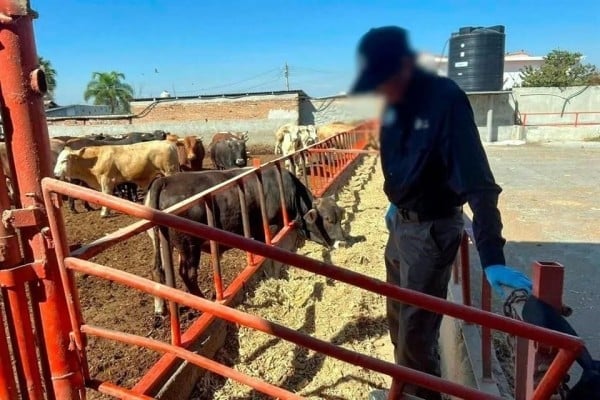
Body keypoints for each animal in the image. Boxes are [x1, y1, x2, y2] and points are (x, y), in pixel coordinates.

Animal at [145, 166, 346, 318]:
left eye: (340, 215)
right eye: (328, 219)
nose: (343, 242)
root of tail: (165, 181)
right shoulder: (270, 228)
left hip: (163, 244)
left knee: (158, 270)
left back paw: (162, 308)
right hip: (189, 246)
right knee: (188, 274)